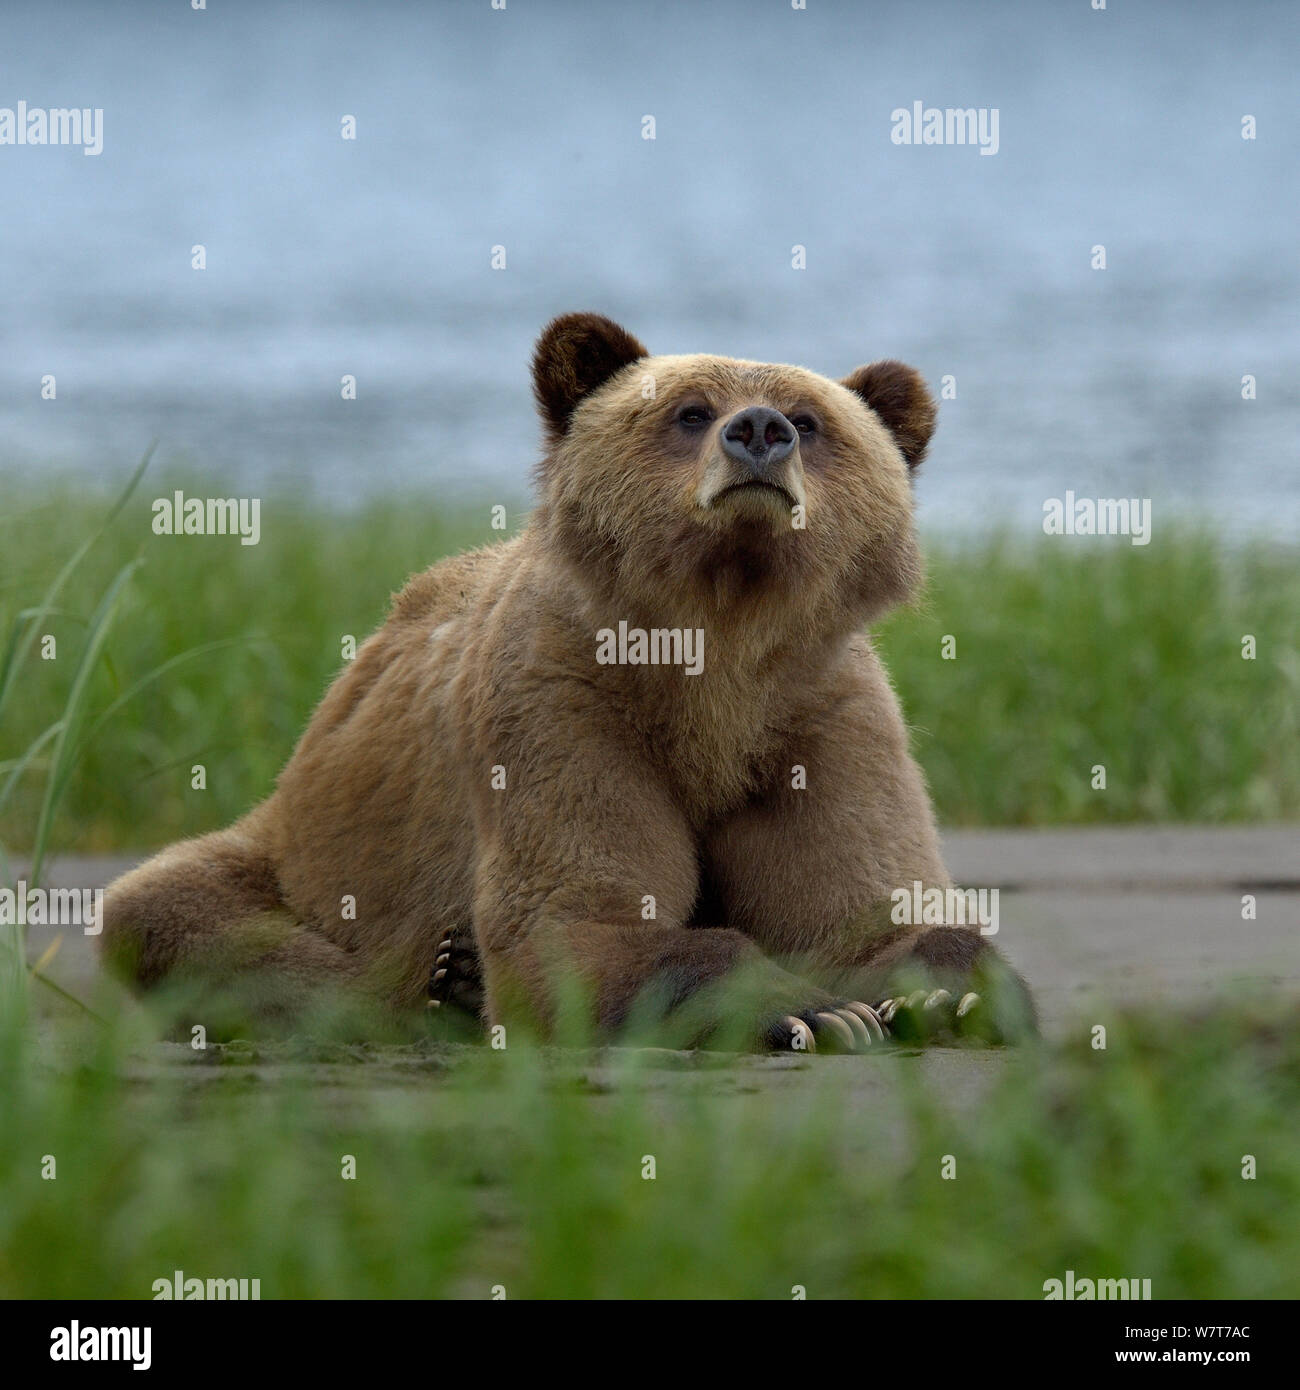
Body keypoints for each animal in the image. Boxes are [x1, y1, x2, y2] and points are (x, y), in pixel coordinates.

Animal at [101, 312, 1035, 1051]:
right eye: (690, 410)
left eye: (811, 419)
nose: (761, 428)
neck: (717, 645)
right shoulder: (561, 700)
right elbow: (578, 917)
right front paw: (807, 1012)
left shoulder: (817, 714)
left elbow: (866, 907)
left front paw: (941, 997)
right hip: (302, 855)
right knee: (172, 912)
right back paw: (437, 988)